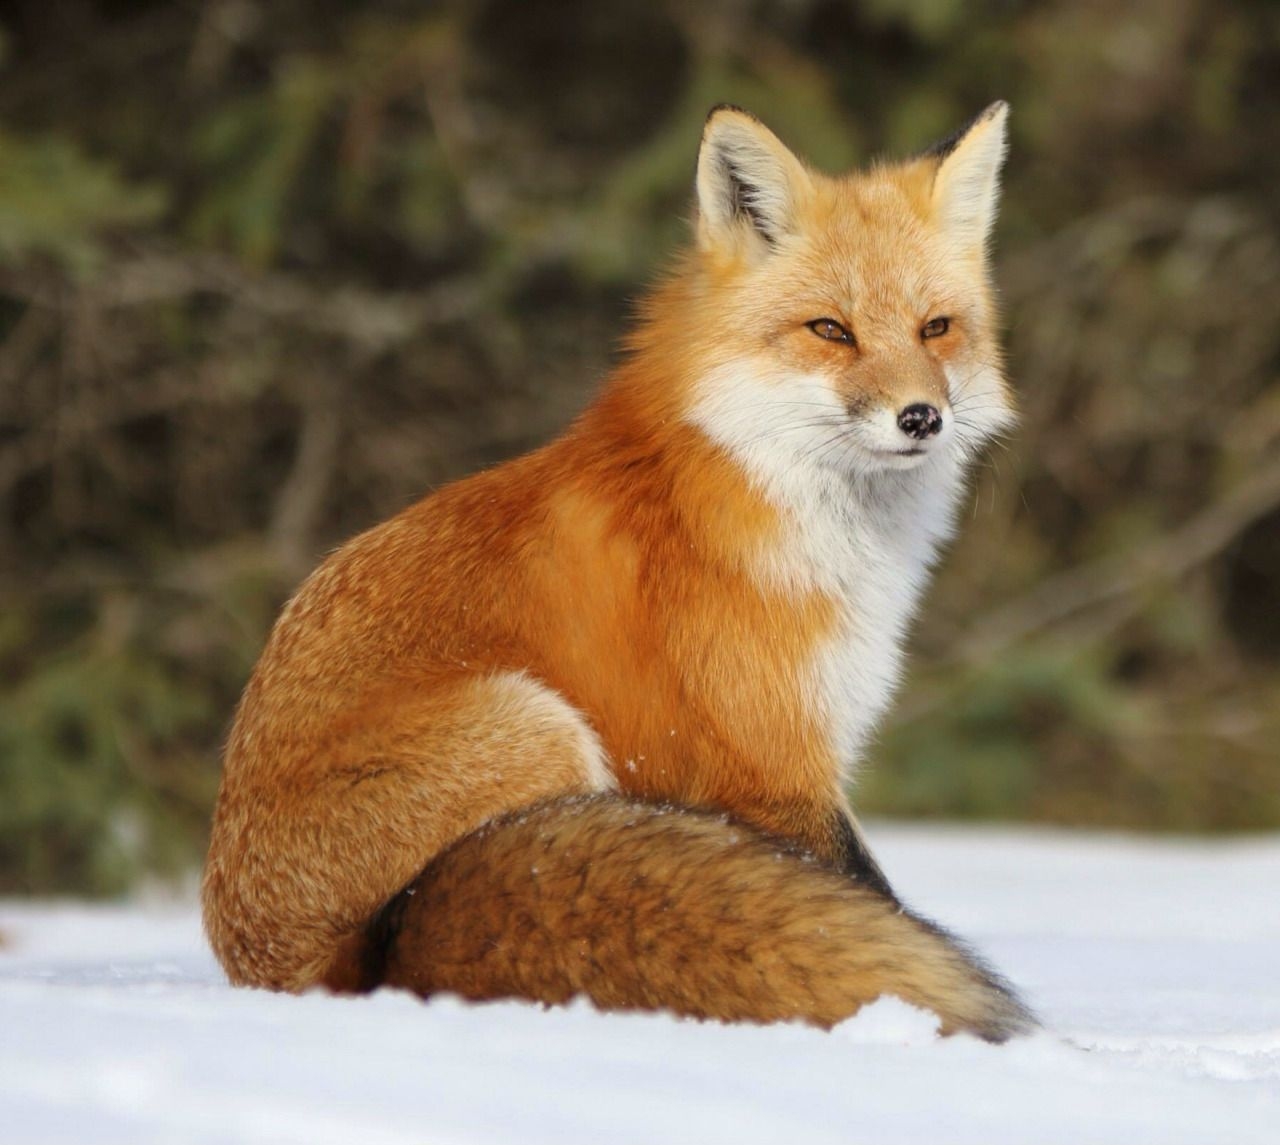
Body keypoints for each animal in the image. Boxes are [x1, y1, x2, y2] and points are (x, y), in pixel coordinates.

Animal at [202, 102, 1034, 1040]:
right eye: (831, 330)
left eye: (936, 328)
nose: (922, 416)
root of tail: (320, 962)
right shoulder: (773, 761)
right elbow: (867, 901)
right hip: (540, 725)